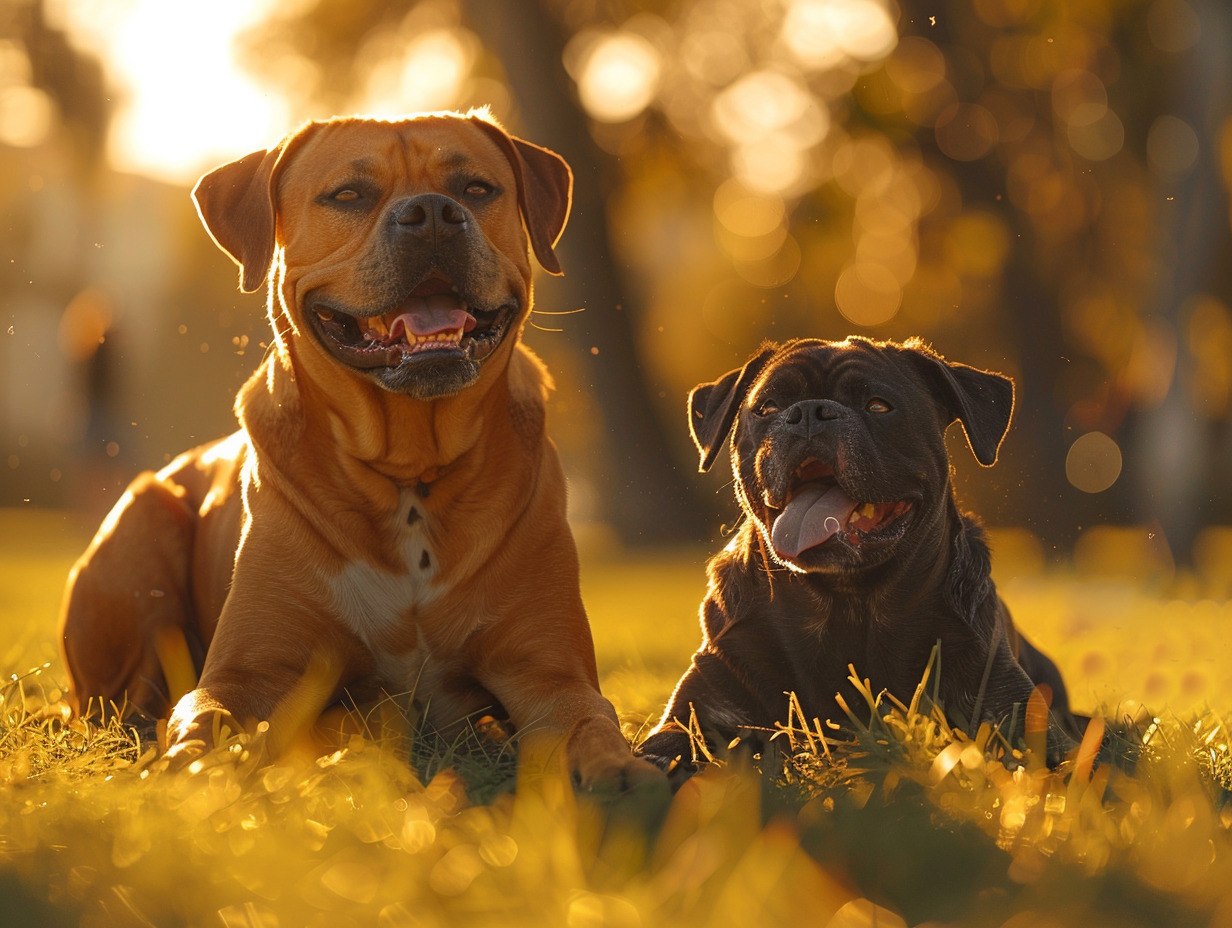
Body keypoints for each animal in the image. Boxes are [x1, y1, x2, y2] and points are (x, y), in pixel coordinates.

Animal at [60, 108, 655, 788]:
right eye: (347, 195)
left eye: (477, 189)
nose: (432, 212)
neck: (410, 471)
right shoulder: (247, 671)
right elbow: (203, 722)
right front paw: (188, 772)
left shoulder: (552, 671)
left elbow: (591, 722)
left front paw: (620, 772)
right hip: (144, 517)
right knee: (129, 700)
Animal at [640, 337, 1084, 769]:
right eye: (767, 407)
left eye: (878, 406)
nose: (809, 412)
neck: (845, 605)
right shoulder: (701, 710)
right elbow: (662, 751)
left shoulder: (1010, 708)